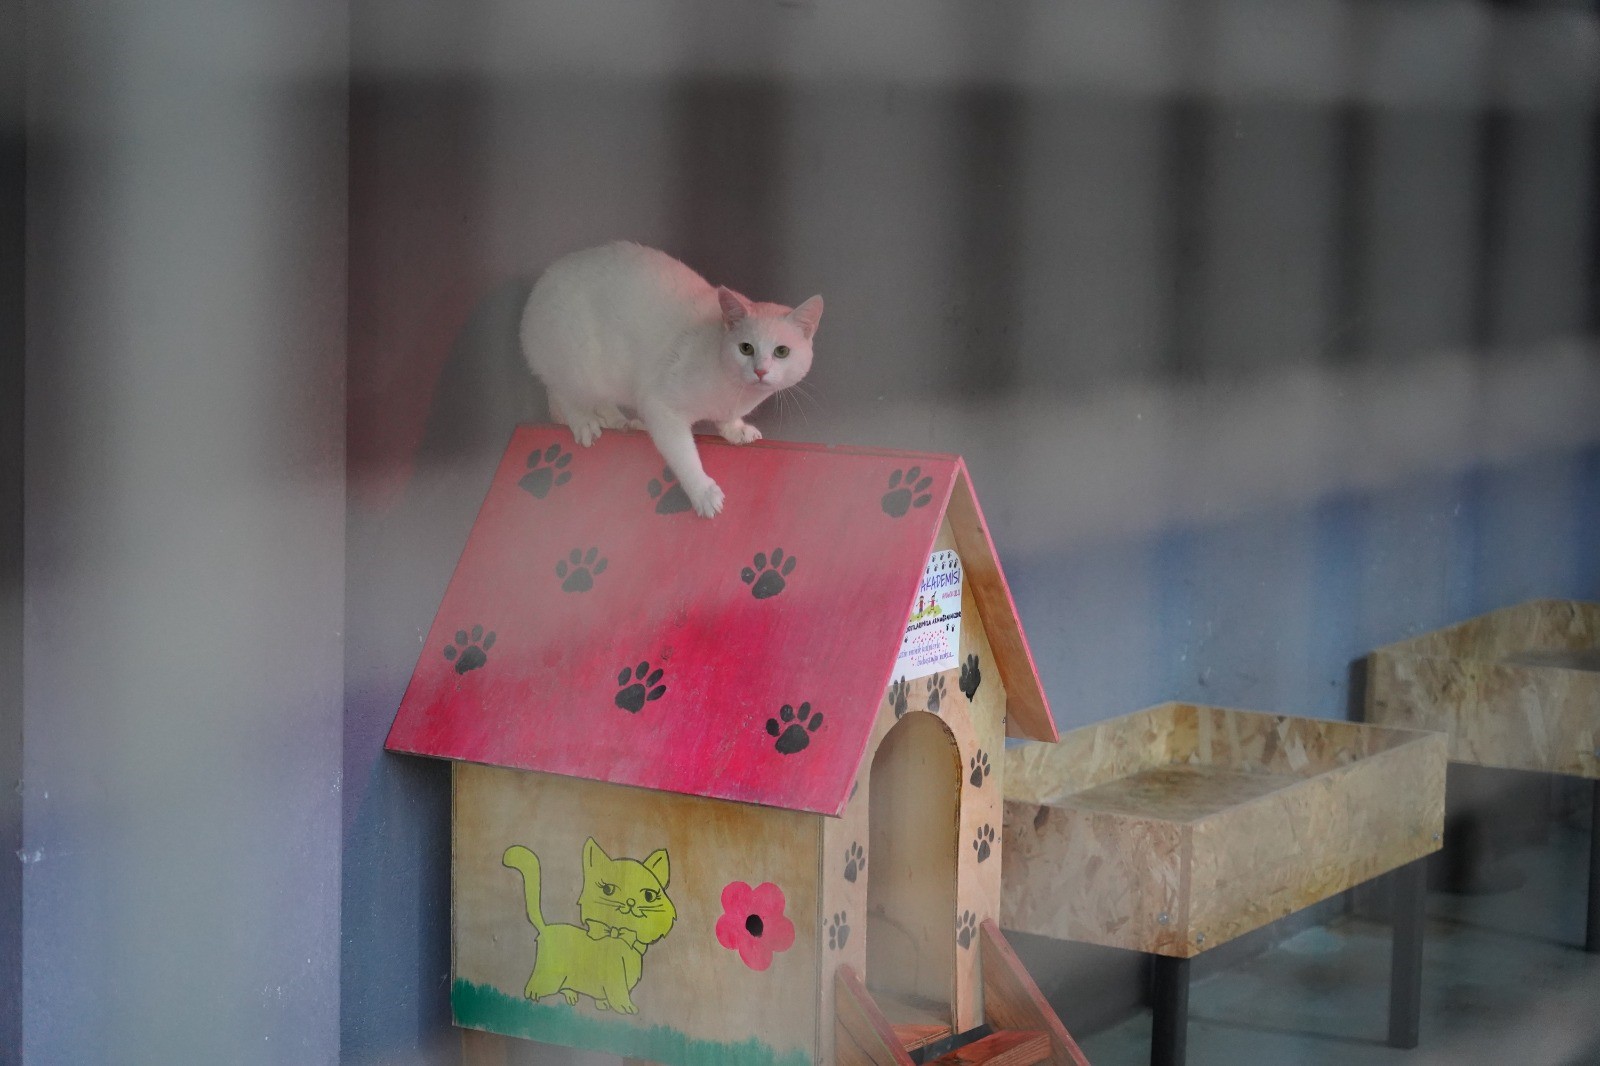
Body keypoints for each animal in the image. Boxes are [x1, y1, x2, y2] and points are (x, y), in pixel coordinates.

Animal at [501, 837, 676, 1014]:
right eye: (608, 889)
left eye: (649, 895)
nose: (631, 902)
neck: (618, 937)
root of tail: (546, 928)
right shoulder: (615, 977)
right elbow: (619, 993)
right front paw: (626, 1007)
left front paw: (602, 1005)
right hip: (551, 976)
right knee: (535, 984)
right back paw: (533, 996)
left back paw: (571, 996)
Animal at [520, 241, 823, 517]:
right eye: (746, 348)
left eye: (782, 351)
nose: (760, 371)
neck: (737, 393)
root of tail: (539, 288)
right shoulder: (660, 405)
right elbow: (684, 455)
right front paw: (703, 493)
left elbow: (727, 420)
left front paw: (736, 430)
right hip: (579, 365)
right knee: (564, 393)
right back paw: (584, 423)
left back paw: (621, 423)